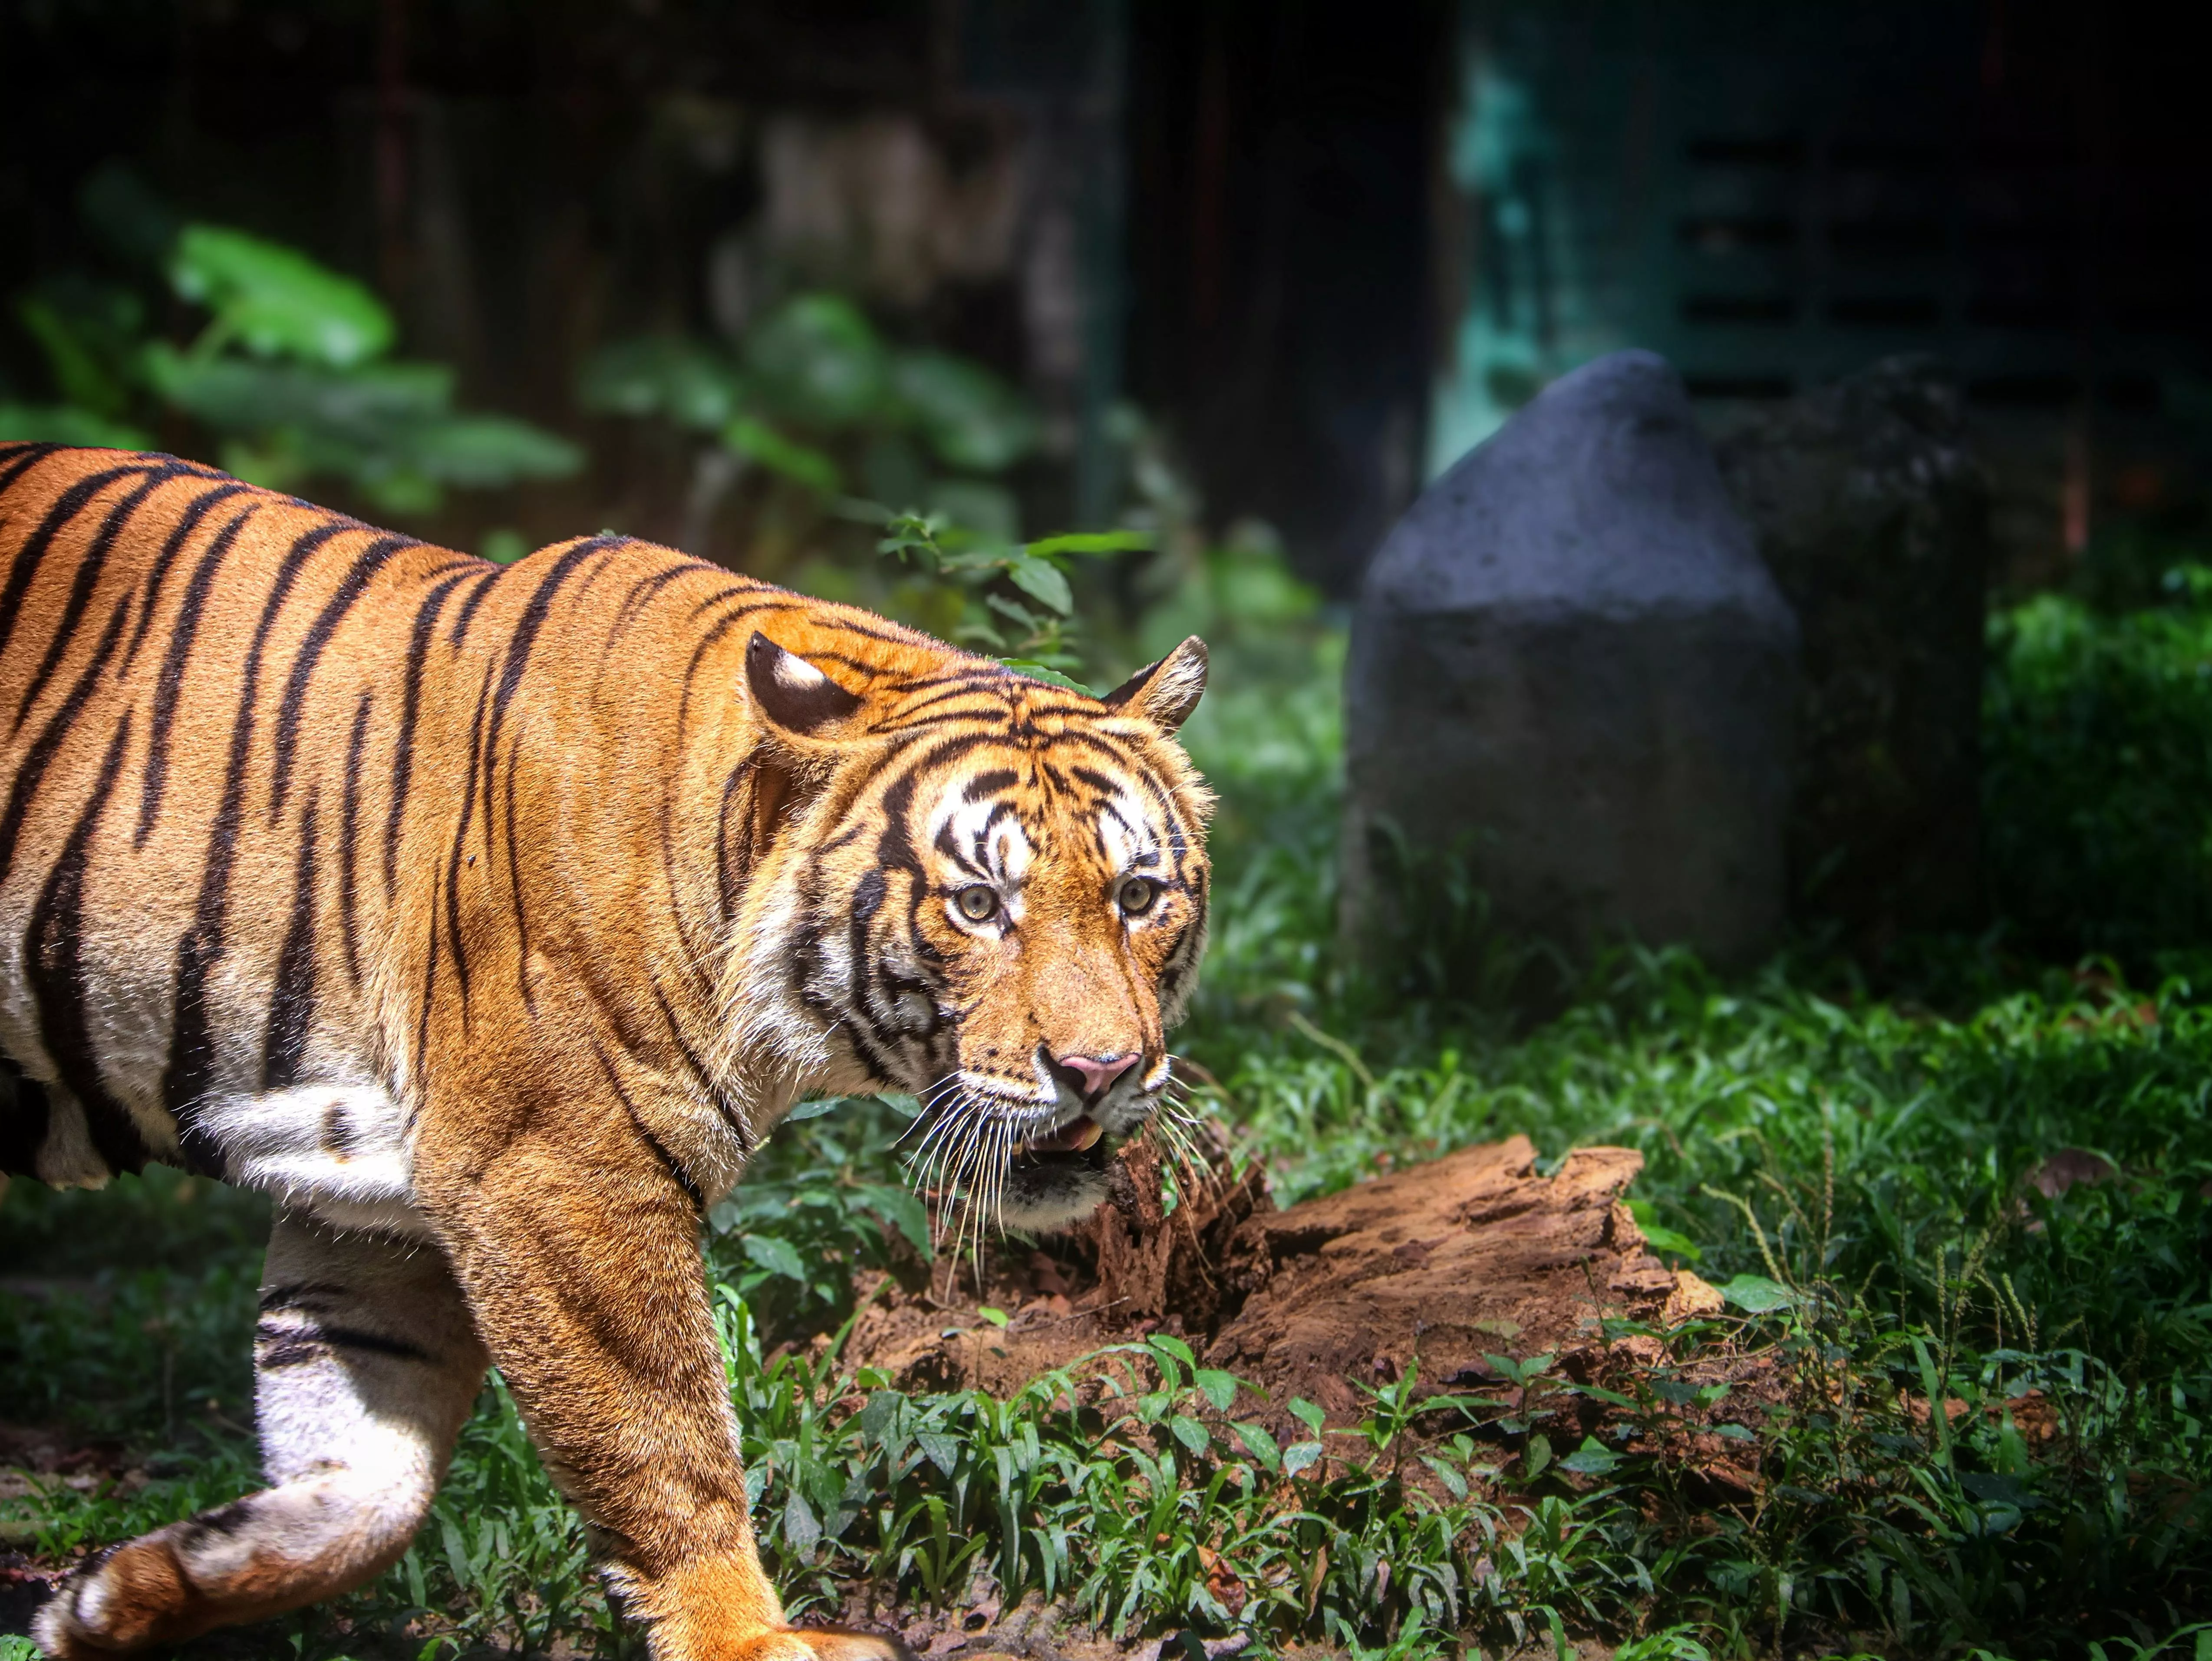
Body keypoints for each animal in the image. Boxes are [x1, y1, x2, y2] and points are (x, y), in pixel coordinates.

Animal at [0, 444, 1212, 1661]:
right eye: (976, 905)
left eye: (1137, 895)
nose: (1102, 1072)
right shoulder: (555, 1173)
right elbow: (660, 1435)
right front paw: (746, 1638)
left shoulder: (372, 1205)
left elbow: (370, 1479)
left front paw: (121, 1595)